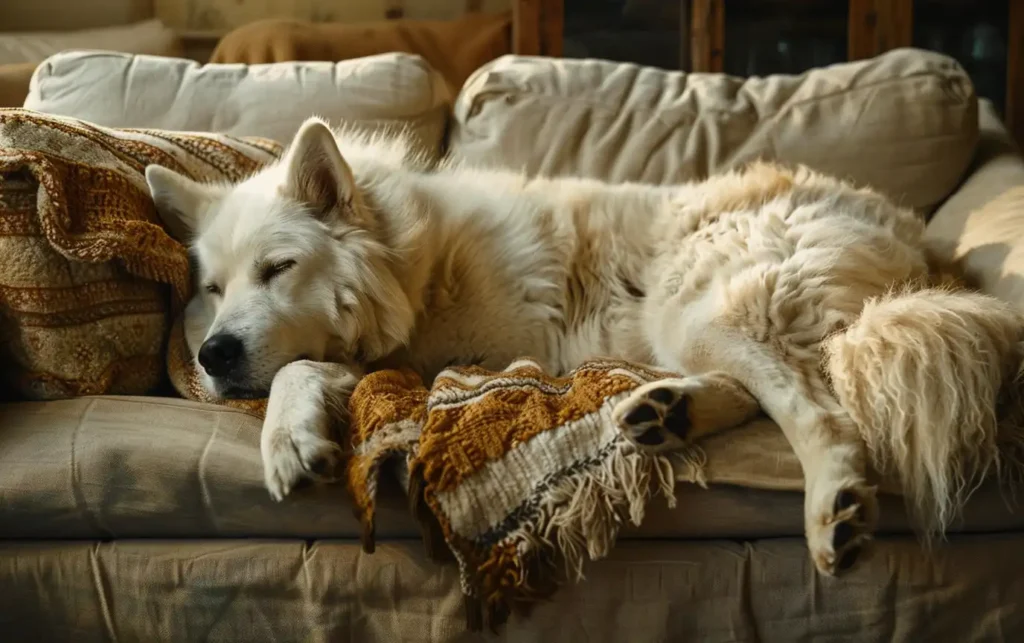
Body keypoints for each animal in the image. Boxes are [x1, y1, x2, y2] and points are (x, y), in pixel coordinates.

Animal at [146, 116, 1024, 577]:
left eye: (278, 269)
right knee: (768, 386)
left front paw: (286, 436)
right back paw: (664, 411)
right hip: (691, 321)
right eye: (213, 287)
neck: (409, 254)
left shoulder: (446, 358)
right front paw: (290, 430)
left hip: (698, 303)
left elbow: (301, 362)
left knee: (816, 405)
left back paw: (832, 504)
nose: (214, 354)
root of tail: (919, 240)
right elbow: (314, 364)